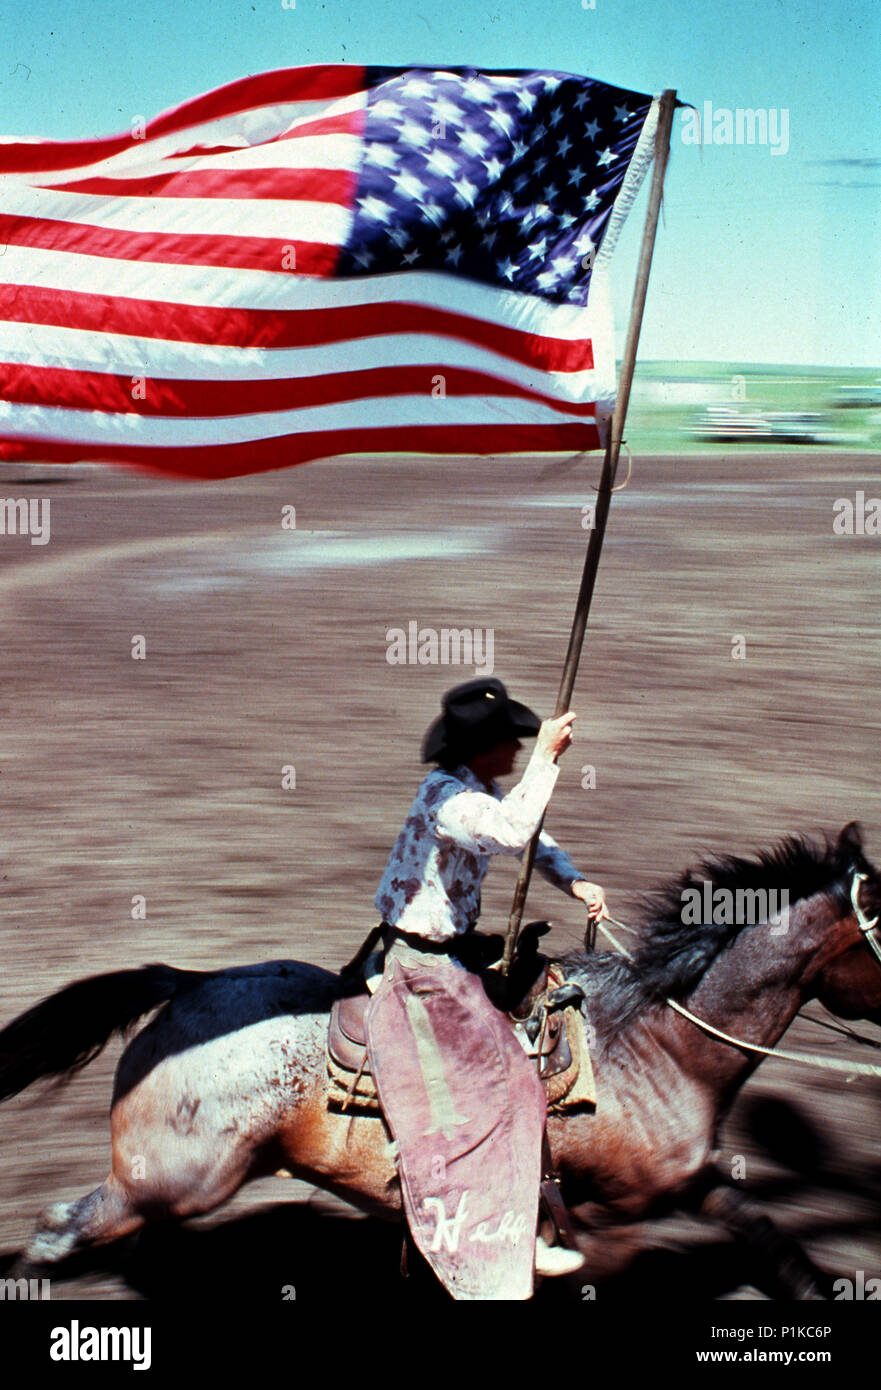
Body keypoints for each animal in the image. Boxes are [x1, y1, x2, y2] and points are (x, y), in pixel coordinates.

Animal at [1, 822, 878, 1289]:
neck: (655, 1044)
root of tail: (187, 983)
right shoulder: (605, 1221)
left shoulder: (689, 1185)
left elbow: (775, 1243)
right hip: (175, 1181)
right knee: (57, 1231)